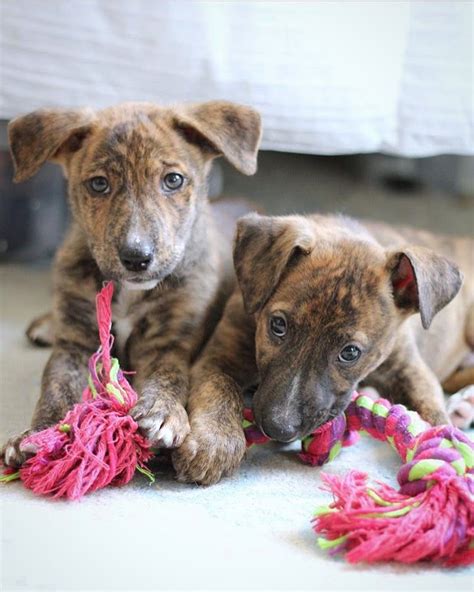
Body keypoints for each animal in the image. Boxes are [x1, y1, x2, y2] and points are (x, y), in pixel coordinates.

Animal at [0, 100, 262, 468]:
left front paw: (162, 413)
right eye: (98, 184)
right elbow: (55, 385)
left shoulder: (169, 342)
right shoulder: (76, 344)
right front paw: (39, 433)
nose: (136, 257)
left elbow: (169, 375)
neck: (128, 292)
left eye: (173, 180)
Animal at [174, 210, 474, 484]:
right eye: (278, 325)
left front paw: (450, 448)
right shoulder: (221, 354)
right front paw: (215, 441)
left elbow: (432, 409)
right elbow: (219, 388)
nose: (278, 427)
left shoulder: (410, 368)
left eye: (350, 352)